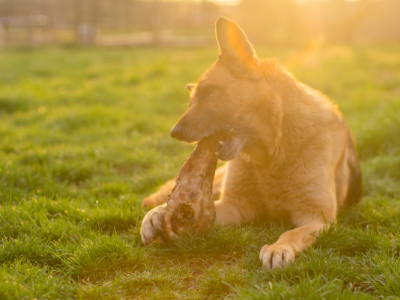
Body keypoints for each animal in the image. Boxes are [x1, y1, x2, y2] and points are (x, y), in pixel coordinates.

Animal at [141, 17, 362, 270]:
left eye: (209, 91)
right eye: (190, 102)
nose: (173, 132)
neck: (273, 152)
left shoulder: (317, 218)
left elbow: (291, 233)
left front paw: (278, 248)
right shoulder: (235, 206)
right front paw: (158, 215)